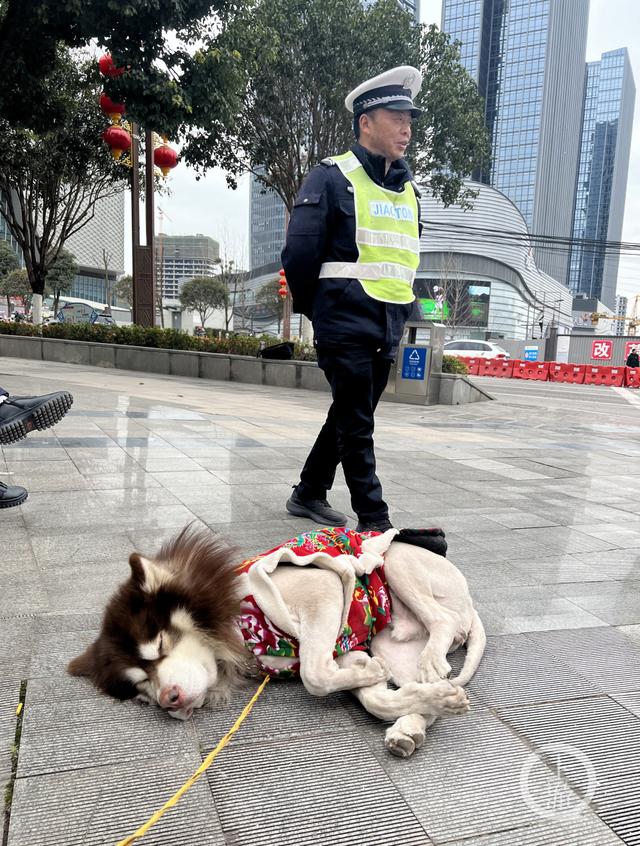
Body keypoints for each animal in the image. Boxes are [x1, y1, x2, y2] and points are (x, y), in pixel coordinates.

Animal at [69, 528, 484, 760]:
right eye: (142, 689)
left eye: (159, 645)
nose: (168, 701)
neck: (242, 638)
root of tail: (470, 601)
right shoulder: (346, 646)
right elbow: (373, 695)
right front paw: (393, 688)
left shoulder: (322, 588)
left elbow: (315, 677)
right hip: (390, 642)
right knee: (424, 677)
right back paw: (413, 723)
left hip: (398, 563)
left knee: (442, 621)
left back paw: (433, 662)